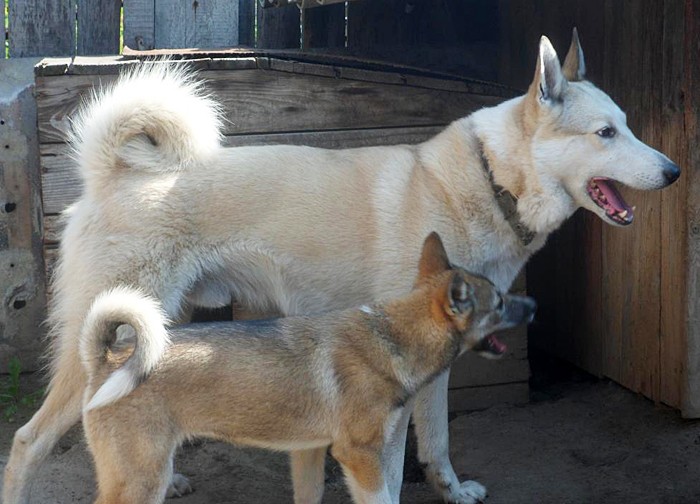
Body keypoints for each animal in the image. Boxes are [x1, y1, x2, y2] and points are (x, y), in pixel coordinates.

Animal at [79, 233, 536, 504]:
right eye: (499, 303)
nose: (534, 304)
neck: (389, 336)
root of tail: (108, 357)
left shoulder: (310, 452)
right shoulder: (359, 457)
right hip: (143, 481)